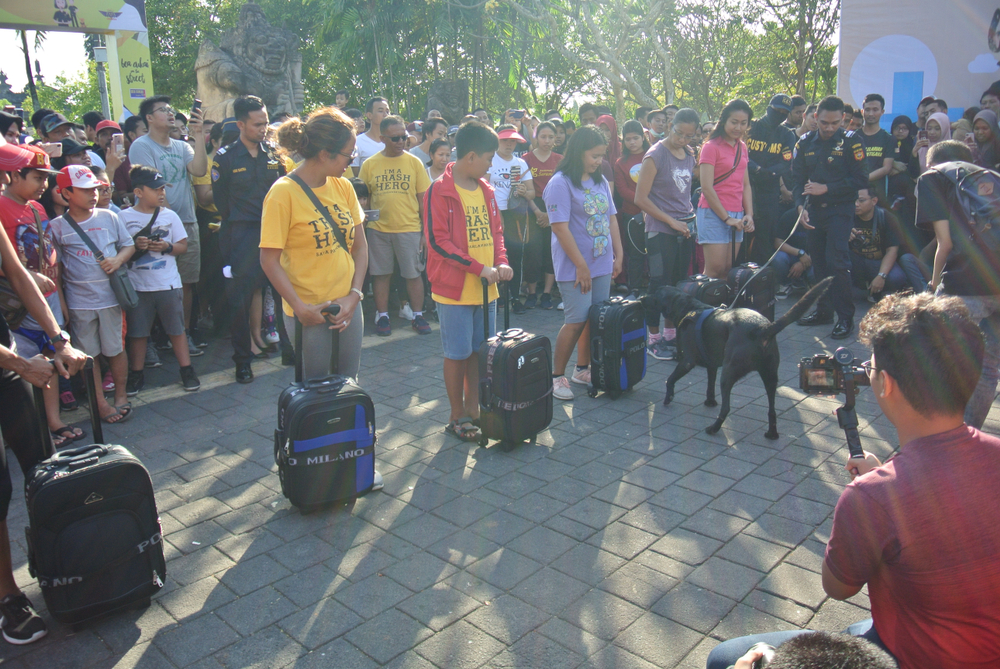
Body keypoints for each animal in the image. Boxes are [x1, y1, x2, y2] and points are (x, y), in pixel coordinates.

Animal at [644, 276, 832, 438]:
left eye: (656, 294)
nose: (642, 297)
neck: (689, 308)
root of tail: (764, 328)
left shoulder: (687, 362)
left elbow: (670, 379)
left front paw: (668, 397)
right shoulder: (712, 365)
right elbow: (709, 386)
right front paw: (710, 402)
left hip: (728, 373)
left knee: (726, 407)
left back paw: (714, 429)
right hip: (770, 376)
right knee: (772, 410)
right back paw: (771, 434)